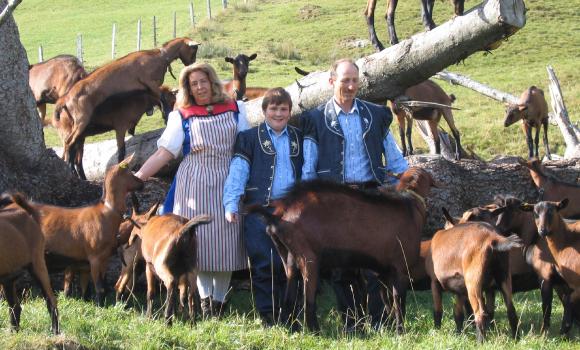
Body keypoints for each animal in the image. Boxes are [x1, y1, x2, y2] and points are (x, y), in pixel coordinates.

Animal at [0, 194, 59, 334]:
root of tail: (29, 215)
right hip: (7, 279)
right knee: (15, 307)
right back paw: (13, 332)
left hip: (38, 265)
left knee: (51, 300)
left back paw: (55, 332)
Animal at [34, 154, 144, 304]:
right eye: (130, 173)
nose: (142, 183)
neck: (107, 212)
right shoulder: (94, 258)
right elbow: (99, 288)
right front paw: (99, 305)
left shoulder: (103, 258)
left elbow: (95, 288)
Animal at [55, 37, 199, 172]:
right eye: (194, 49)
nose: (192, 64)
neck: (159, 56)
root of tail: (65, 98)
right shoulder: (151, 83)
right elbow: (162, 99)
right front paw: (167, 116)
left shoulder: (149, 90)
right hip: (81, 120)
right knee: (68, 142)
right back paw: (68, 166)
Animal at [251, 167, 438, 334]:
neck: (410, 204)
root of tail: (280, 215)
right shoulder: (401, 269)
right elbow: (399, 303)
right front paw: (401, 331)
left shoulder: (382, 273)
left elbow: (388, 303)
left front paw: (390, 327)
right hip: (309, 259)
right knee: (307, 301)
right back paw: (315, 332)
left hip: (289, 260)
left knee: (288, 299)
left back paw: (293, 330)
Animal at [528, 198, 580, 334]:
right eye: (535, 213)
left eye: (551, 211)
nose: (542, 231)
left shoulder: (575, 283)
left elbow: (567, 301)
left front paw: (564, 330)